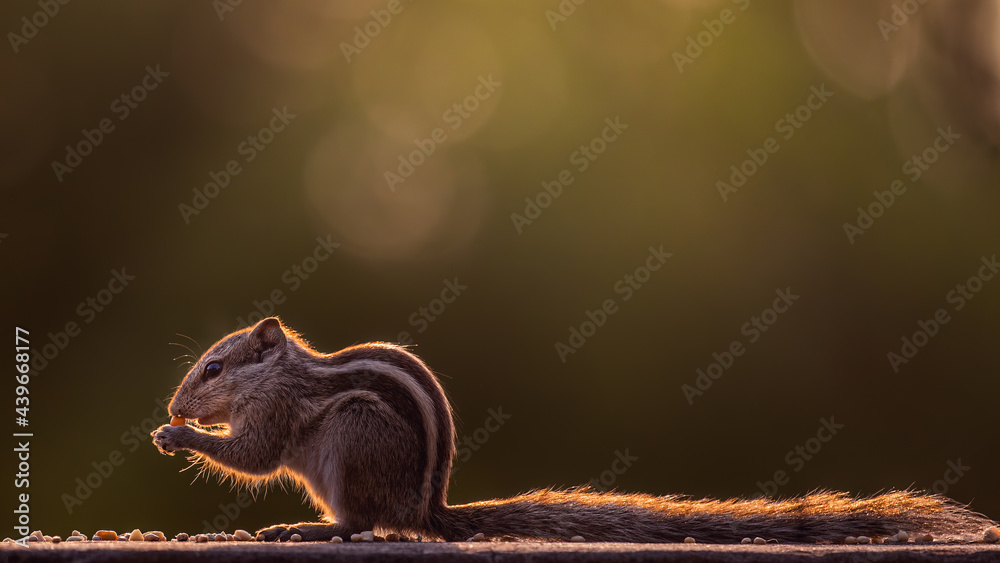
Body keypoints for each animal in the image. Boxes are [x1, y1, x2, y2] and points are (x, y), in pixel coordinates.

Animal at [152, 317, 997, 543]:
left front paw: (180, 439)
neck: (282, 374)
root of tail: (429, 508)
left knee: (362, 524)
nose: (174, 406)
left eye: (215, 368)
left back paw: (307, 528)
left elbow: (253, 456)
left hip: (350, 451)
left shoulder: (277, 416)